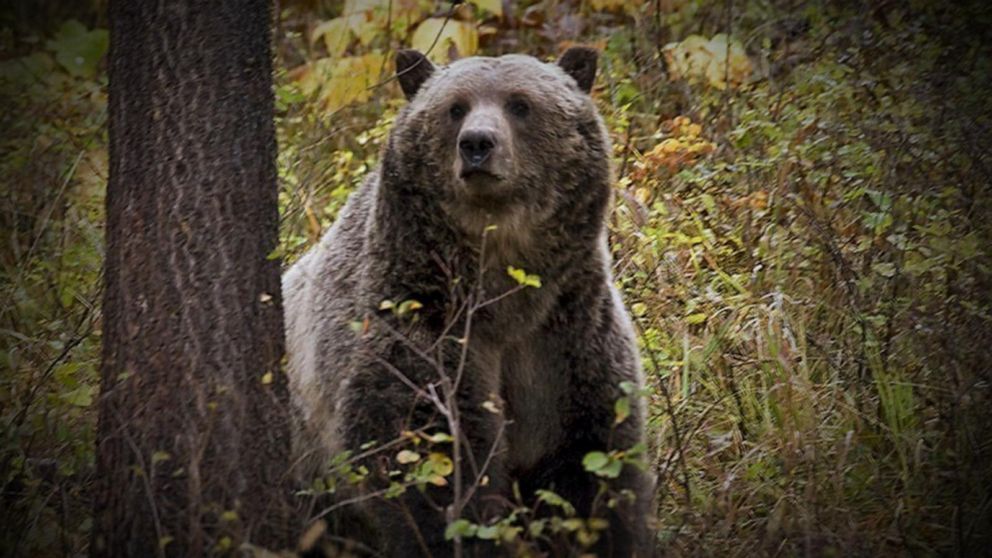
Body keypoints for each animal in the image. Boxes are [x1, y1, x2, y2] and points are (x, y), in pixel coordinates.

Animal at [280, 49, 652, 558]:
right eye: (455, 107)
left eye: (520, 104)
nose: (477, 143)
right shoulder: (421, 320)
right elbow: (430, 461)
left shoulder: (567, 336)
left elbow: (591, 464)